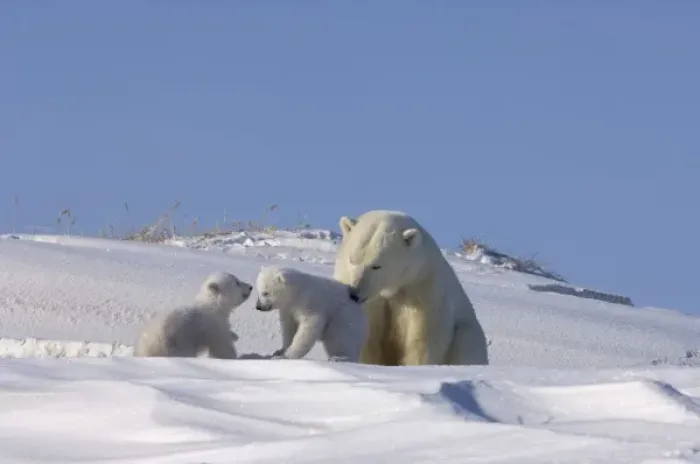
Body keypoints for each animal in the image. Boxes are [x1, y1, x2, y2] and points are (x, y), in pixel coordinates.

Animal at [333, 209, 489, 366]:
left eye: (376, 266)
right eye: (352, 260)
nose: (354, 293)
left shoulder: (423, 289)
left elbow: (422, 340)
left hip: (468, 334)